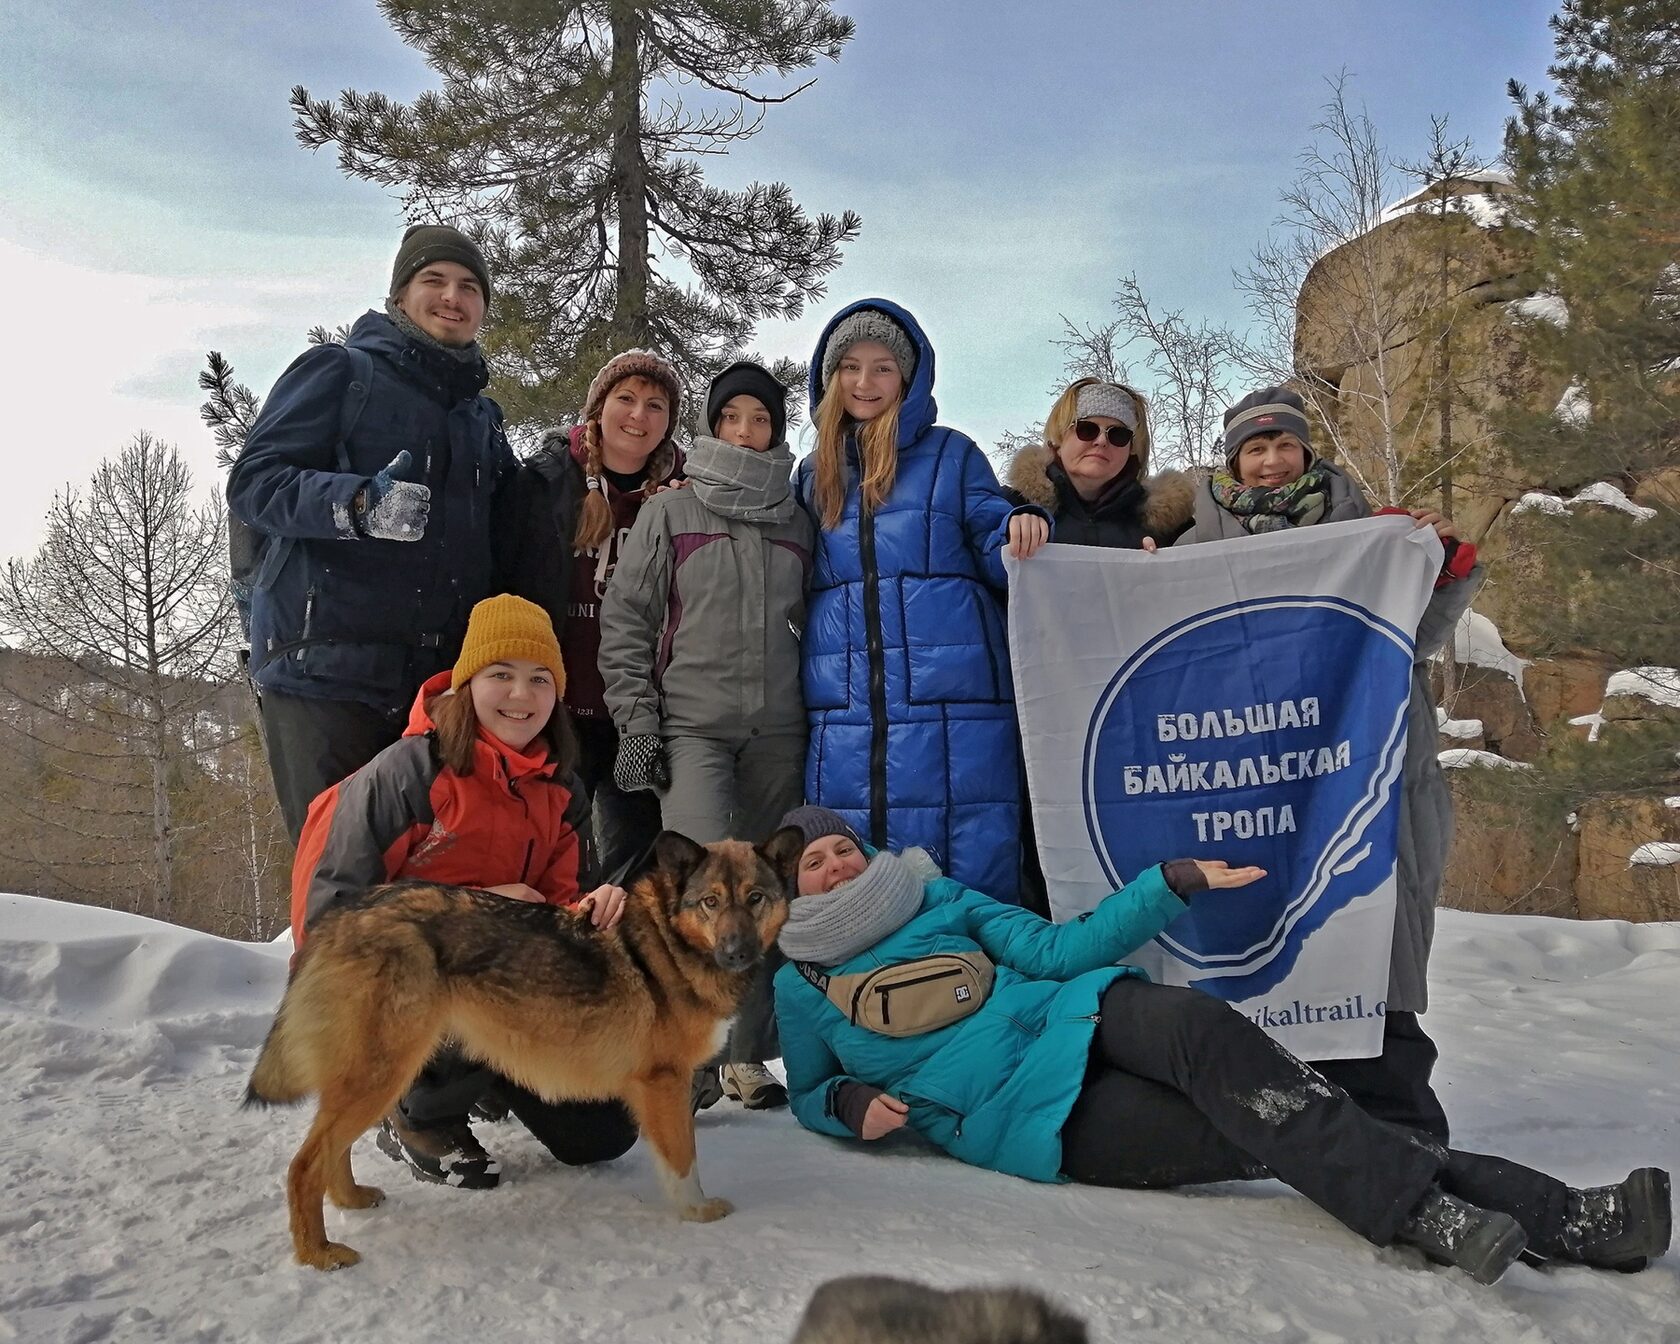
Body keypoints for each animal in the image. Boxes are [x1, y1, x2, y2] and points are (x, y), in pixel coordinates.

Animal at [243, 823, 799, 1276]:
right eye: (711, 902)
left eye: (755, 898)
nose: (737, 952)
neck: (669, 943)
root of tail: (343, 913)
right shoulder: (664, 1082)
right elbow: (684, 1160)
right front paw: (697, 1212)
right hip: (385, 1073)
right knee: (303, 1166)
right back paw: (318, 1254)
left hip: (375, 1076)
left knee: (329, 1151)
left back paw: (351, 1200)